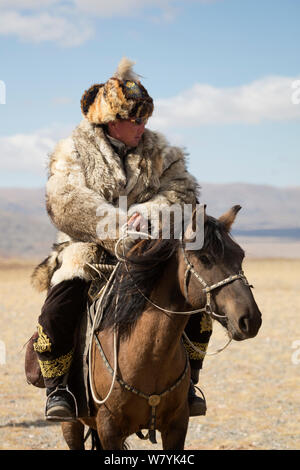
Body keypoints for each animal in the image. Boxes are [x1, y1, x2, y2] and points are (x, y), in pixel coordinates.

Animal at [61, 206, 262, 452]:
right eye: (204, 258)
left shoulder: (177, 425)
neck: (149, 355)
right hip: (71, 424)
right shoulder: (109, 429)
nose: (250, 319)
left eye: (240, 255)